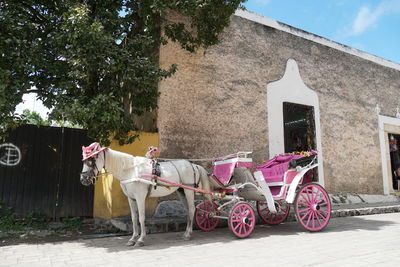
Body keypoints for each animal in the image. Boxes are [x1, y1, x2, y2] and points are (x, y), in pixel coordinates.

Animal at [80, 143, 212, 248]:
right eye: (84, 160)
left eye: (91, 160)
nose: (83, 179)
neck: (130, 171)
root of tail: (193, 165)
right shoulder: (131, 198)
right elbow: (134, 218)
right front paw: (132, 239)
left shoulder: (140, 197)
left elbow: (141, 218)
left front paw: (141, 239)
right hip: (181, 191)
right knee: (188, 210)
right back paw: (186, 233)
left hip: (189, 191)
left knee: (192, 209)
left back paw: (188, 234)